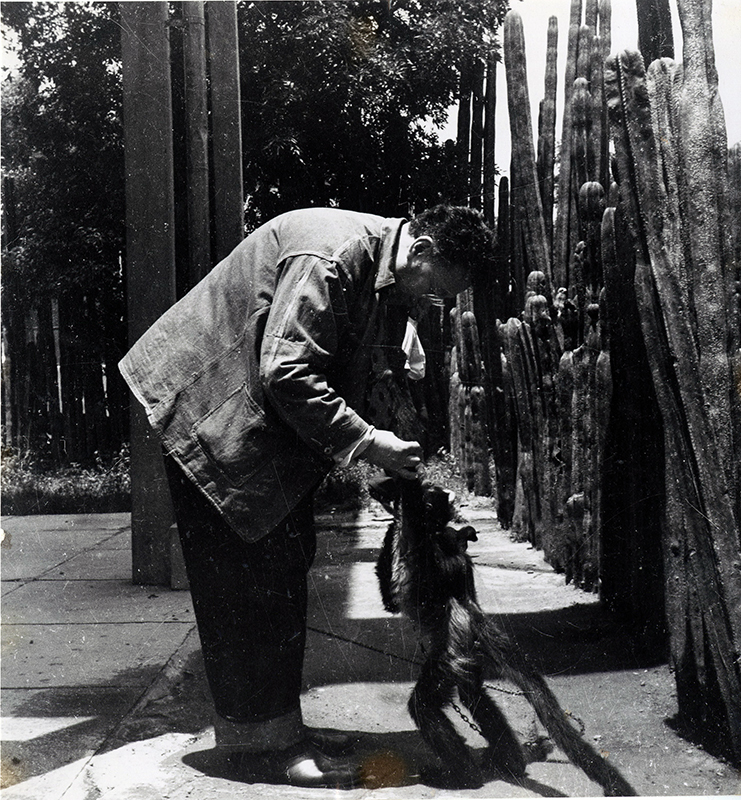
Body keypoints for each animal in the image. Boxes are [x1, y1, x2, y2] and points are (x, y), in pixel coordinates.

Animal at [370, 472, 636, 796]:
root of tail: (471, 615)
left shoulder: (423, 541)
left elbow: (392, 598)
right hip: (467, 655)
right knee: (473, 694)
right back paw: (510, 763)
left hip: (449, 656)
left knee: (426, 705)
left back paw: (464, 777)